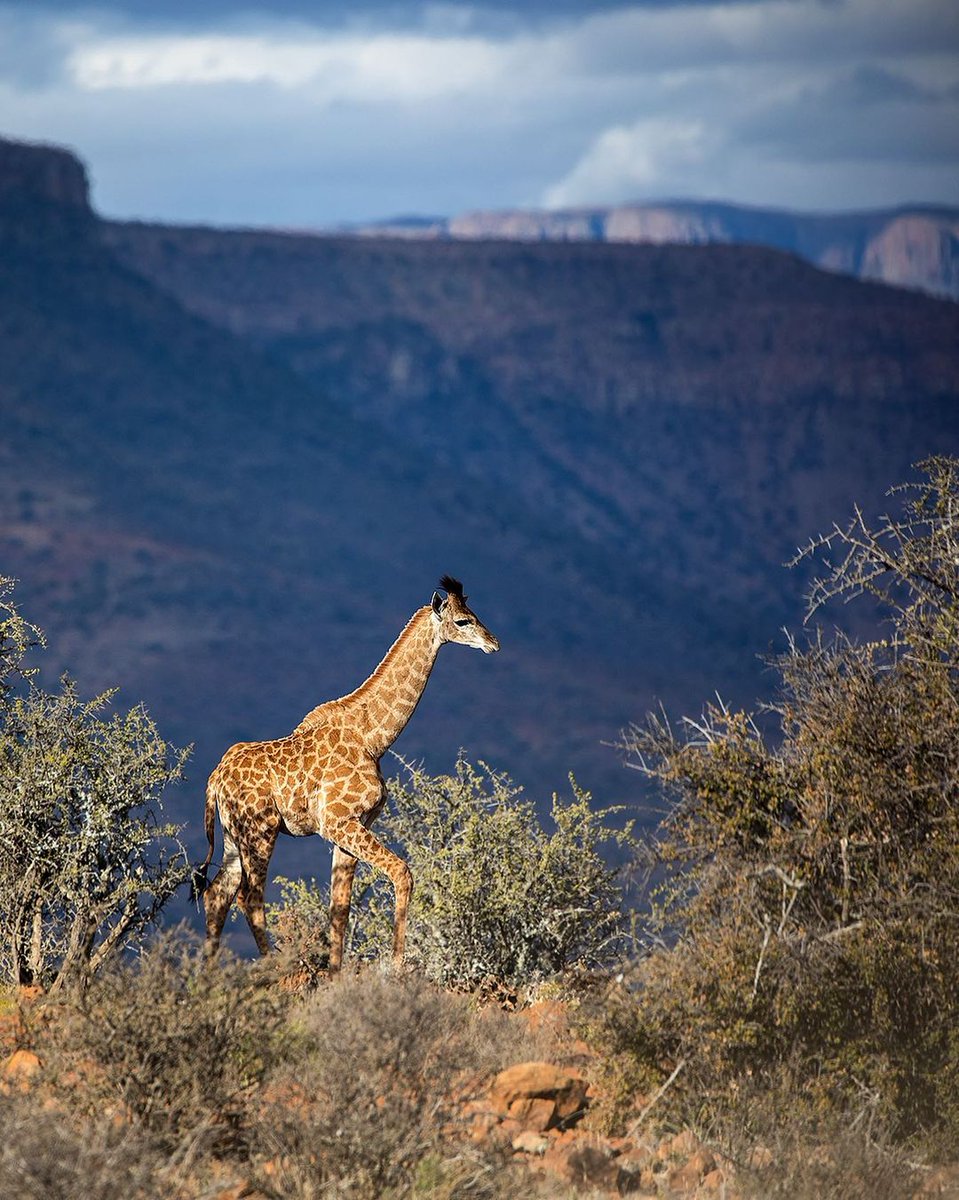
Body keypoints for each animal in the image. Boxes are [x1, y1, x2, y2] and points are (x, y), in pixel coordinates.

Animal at [194, 575, 499, 971]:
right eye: (463, 621)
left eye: (474, 614)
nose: (493, 643)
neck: (373, 738)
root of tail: (215, 777)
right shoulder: (340, 822)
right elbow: (402, 873)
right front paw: (396, 966)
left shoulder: (352, 827)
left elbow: (340, 907)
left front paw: (335, 975)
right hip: (260, 831)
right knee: (249, 896)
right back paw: (278, 968)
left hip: (234, 835)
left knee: (218, 893)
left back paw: (208, 976)